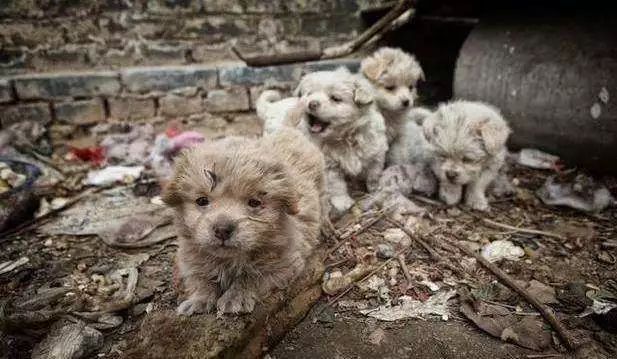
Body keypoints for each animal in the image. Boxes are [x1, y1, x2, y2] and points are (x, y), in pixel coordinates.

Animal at [164, 127, 328, 316]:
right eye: (202, 201)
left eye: (254, 203)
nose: (222, 230)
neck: (229, 260)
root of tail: (288, 130)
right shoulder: (191, 258)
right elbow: (200, 278)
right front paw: (199, 299)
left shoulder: (285, 264)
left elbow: (252, 276)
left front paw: (236, 297)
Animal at [294, 68, 384, 219]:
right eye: (309, 94)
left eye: (335, 98)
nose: (312, 103)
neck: (344, 138)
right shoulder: (329, 165)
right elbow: (337, 185)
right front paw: (343, 202)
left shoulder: (375, 154)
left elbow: (374, 174)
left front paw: (375, 190)